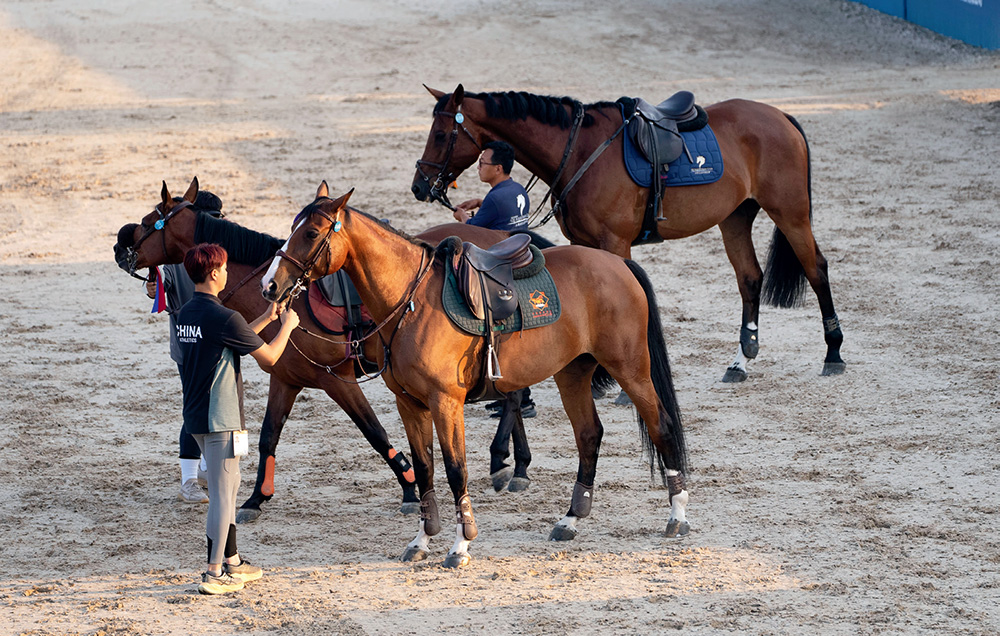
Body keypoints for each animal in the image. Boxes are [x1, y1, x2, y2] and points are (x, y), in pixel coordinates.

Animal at [113, 178, 537, 522]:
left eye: (149, 221)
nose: (118, 245)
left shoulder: (336, 380)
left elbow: (376, 434)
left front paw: (409, 488)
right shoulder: (285, 379)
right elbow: (268, 436)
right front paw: (255, 499)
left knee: (513, 397)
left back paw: (508, 462)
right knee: (513, 395)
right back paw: (514, 466)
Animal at [261, 182, 690, 568]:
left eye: (311, 233)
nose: (270, 285)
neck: (412, 303)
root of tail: (617, 263)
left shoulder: (445, 402)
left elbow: (455, 469)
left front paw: (460, 544)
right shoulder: (409, 403)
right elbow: (425, 468)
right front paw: (422, 539)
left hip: (631, 369)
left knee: (661, 426)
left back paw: (677, 515)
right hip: (572, 373)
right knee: (588, 435)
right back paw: (570, 519)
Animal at [411, 85, 846, 383]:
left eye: (440, 135)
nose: (419, 186)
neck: (579, 149)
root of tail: (781, 115)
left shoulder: (615, 242)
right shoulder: (585, 243)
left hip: (790, 212)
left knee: (816, 268)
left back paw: (833, 353)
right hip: (735, 217)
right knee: (750, 278)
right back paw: (741, 359)